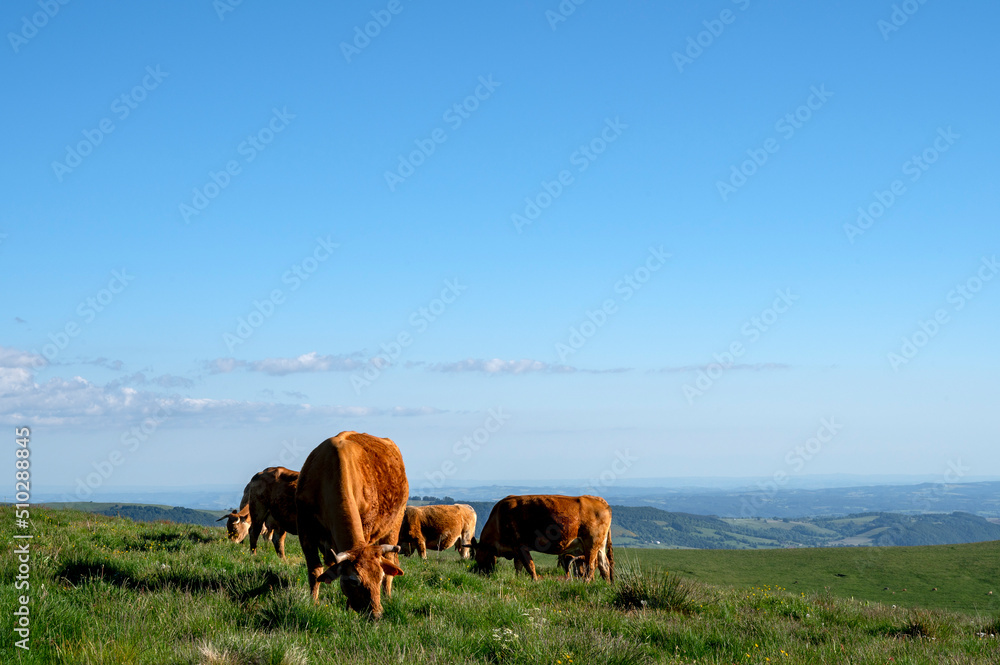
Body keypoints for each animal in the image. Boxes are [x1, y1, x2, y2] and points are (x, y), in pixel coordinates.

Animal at [294, 430, 408, 616]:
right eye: (354, 581)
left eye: (379, 577)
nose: (376, 614)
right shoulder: (305, 528)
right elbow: (314, 569)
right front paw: (313, 602)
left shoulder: (366, 528)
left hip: (395, 525)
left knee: (390, 559)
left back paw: (388, 595)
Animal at [472, 492, 612, 580]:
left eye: (479, 558)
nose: (480, 574)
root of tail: (598, 500)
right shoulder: (516, 550)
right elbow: (518, 567)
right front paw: (518, 579)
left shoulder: (520, 546)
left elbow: (530, 566)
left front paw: (534, 580)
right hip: (599, 546)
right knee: (604, 566)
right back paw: (606, 586)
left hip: (591, 544)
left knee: (591, 567)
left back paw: (585, 583)